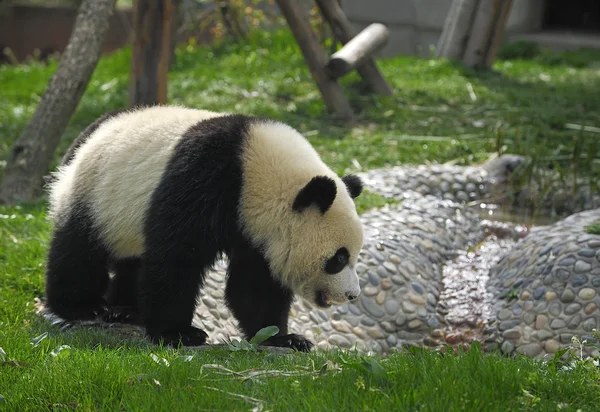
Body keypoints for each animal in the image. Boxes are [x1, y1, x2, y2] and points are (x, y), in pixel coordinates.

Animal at [44, 105, 364, 350]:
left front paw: (283, 338)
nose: (352, 295)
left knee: (132, 261)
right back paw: (83, 306)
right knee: (79, 251)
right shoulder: (205, 178)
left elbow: (254, 285)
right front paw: (179, 333)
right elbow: (177, 257)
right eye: (338, 258)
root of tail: (86, 135)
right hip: (96, 193)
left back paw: (126, 310)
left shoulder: (253, 228)